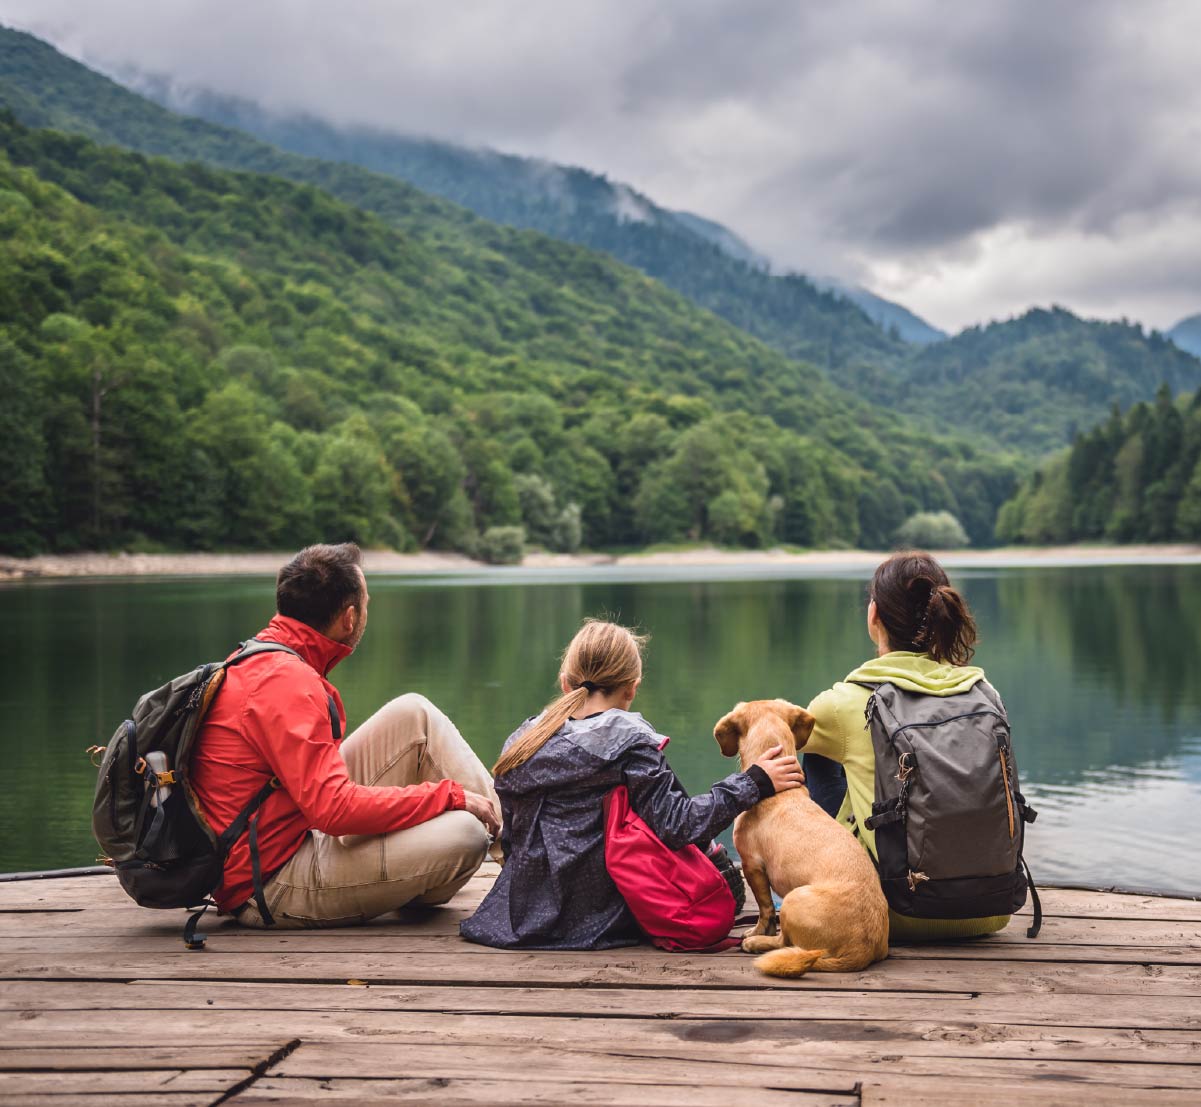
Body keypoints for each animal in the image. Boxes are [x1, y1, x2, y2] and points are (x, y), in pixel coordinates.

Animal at [710, 701, 893, 974]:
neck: (780, 792)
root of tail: (860, 950)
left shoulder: (752, 866)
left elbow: (765, 908)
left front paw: (755, 932)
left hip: (792, 900)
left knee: (784, 941)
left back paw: (755, 943)